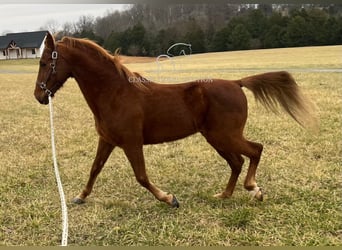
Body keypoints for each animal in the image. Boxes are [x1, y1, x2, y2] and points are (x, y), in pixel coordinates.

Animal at [34, 33, 316, 208]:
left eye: (45, 62)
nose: (39, 96)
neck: (115, 93)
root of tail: (237, 83)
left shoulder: (131, 143)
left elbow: (141, 176)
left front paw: (170, 199)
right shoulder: (107, 140)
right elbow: (94, 169)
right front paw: (80, 197)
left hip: (225, 135)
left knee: (255, 150)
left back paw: (254, 190)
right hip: (217, 139)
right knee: (237, 162)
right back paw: (224, 194)